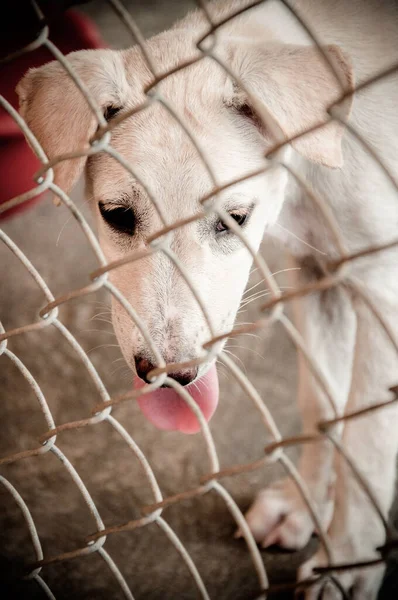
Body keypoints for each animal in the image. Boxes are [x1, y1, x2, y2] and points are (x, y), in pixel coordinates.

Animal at [16, 2, 398, 596]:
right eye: (116, 215)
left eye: (234, 219)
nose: (171, 376)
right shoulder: (317, 272)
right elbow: (321, 401)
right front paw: (304, 505)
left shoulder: (381, 284)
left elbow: (369, 440)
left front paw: (349, 563)